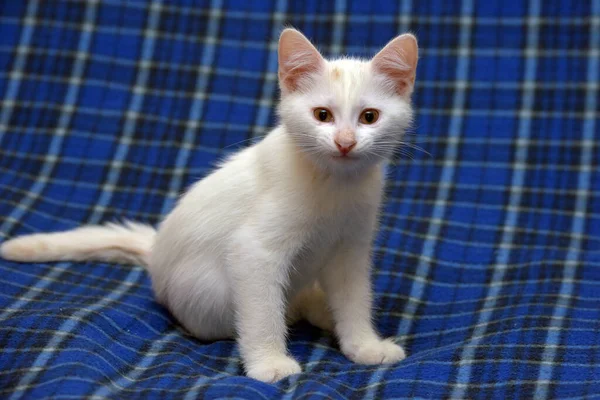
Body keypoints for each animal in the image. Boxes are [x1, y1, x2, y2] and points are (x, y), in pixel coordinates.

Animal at [1, 29, 418, 382]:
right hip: (208, 297)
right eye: (322, 115)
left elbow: (354, 301)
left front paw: (363, 345)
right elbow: (262, 312)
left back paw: (320, 309)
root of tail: (156, 254)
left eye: (369, 117)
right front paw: (269, 364)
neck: (334, 185)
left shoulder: (350, 249)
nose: (345, 143)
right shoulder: (253, 252)